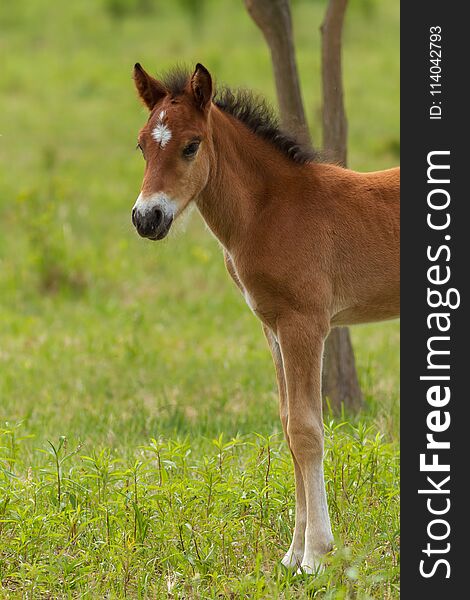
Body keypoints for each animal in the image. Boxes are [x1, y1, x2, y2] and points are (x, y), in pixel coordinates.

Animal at [130, 63, 398, 576]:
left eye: (191, 145)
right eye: (141, 145)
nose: (146, 218)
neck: (270, 209)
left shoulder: (305, 324)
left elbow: (307, 431)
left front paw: (316, 555)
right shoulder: (272, 326)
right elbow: (288, 425)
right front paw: (291, 556)